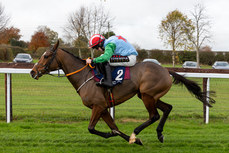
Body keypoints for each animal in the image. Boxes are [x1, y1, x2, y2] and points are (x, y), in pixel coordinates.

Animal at [30, 41, 215, 146]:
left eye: (46, 56)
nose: (32, 72)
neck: (85, 76)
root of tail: (165, 70)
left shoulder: (98, 106)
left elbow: (92, 128)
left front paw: (130, 138)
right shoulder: (103, 107)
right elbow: (115, 128)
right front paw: (133, 140)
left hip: (147, 96)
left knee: (154, 115)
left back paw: (136, 132)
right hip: (149, 95)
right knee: (168, 108)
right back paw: (159, 134)